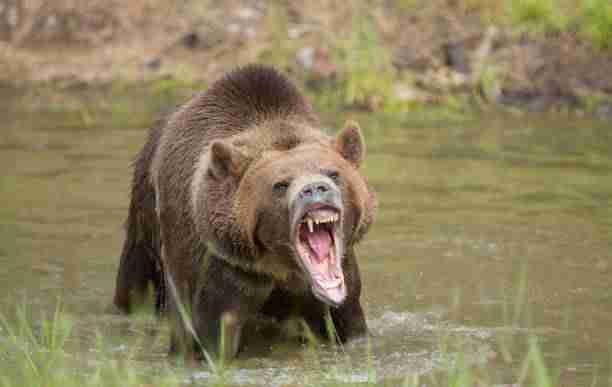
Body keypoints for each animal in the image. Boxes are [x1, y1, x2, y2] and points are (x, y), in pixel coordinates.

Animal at [112, 64, 376, 360]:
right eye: (281, 184)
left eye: (333, 173)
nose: (315, 189)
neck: (281, 265)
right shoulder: (224, 269)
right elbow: (213, 336)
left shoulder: (341, 280)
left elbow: (348, 321)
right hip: (147, 218)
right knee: (137, 282)